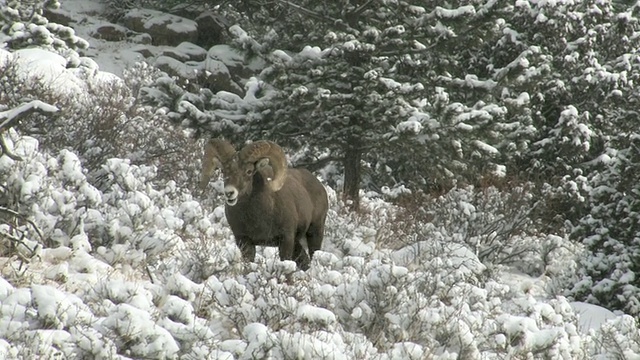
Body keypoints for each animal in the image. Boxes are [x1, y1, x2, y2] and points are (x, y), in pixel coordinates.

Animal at [200, 139, 330, 268]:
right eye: (223, 171)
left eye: (249, 171)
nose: (229, 192)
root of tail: (319, 185)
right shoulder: (244, 241)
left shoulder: (286, 239)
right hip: (297, 243)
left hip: (315, 232)